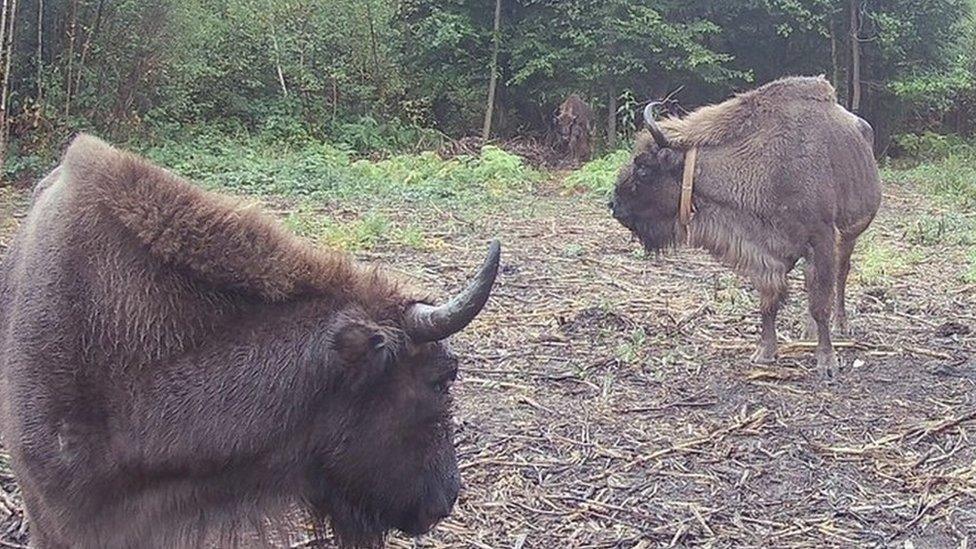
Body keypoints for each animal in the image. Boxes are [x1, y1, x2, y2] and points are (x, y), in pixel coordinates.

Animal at [608, 76, 876, 376]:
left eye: (643, 169)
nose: (614, 205)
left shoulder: (822, 237)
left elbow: (821, 303)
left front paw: (827, 362)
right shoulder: (770, 252)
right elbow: (770, 300)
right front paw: (764, 353)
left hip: (850, 236)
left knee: (840, 276)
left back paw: (840, 327)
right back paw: (807, 332)